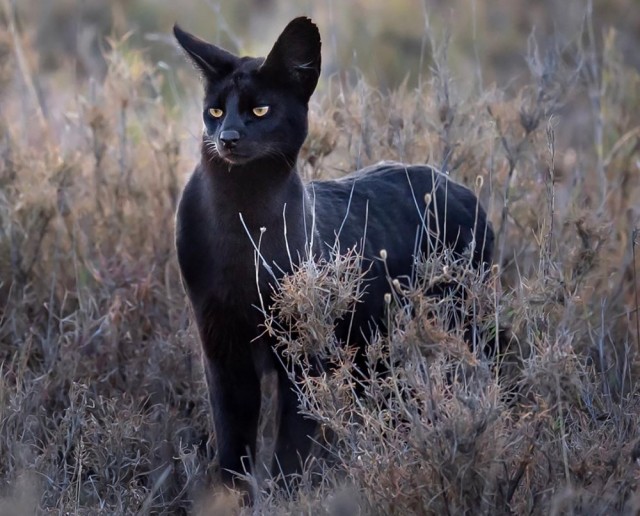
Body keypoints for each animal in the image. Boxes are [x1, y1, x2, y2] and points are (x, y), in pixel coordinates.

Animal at [172, 16, 492, 490]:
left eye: (260, 110)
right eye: (214, 110)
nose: (227, 137)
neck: (240, 215)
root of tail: (461, 188)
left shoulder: (303, 354)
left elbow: (291, 443)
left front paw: (287, 495)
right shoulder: (221, 348)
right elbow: (233, 442)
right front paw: (229, 497)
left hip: (464, 323)